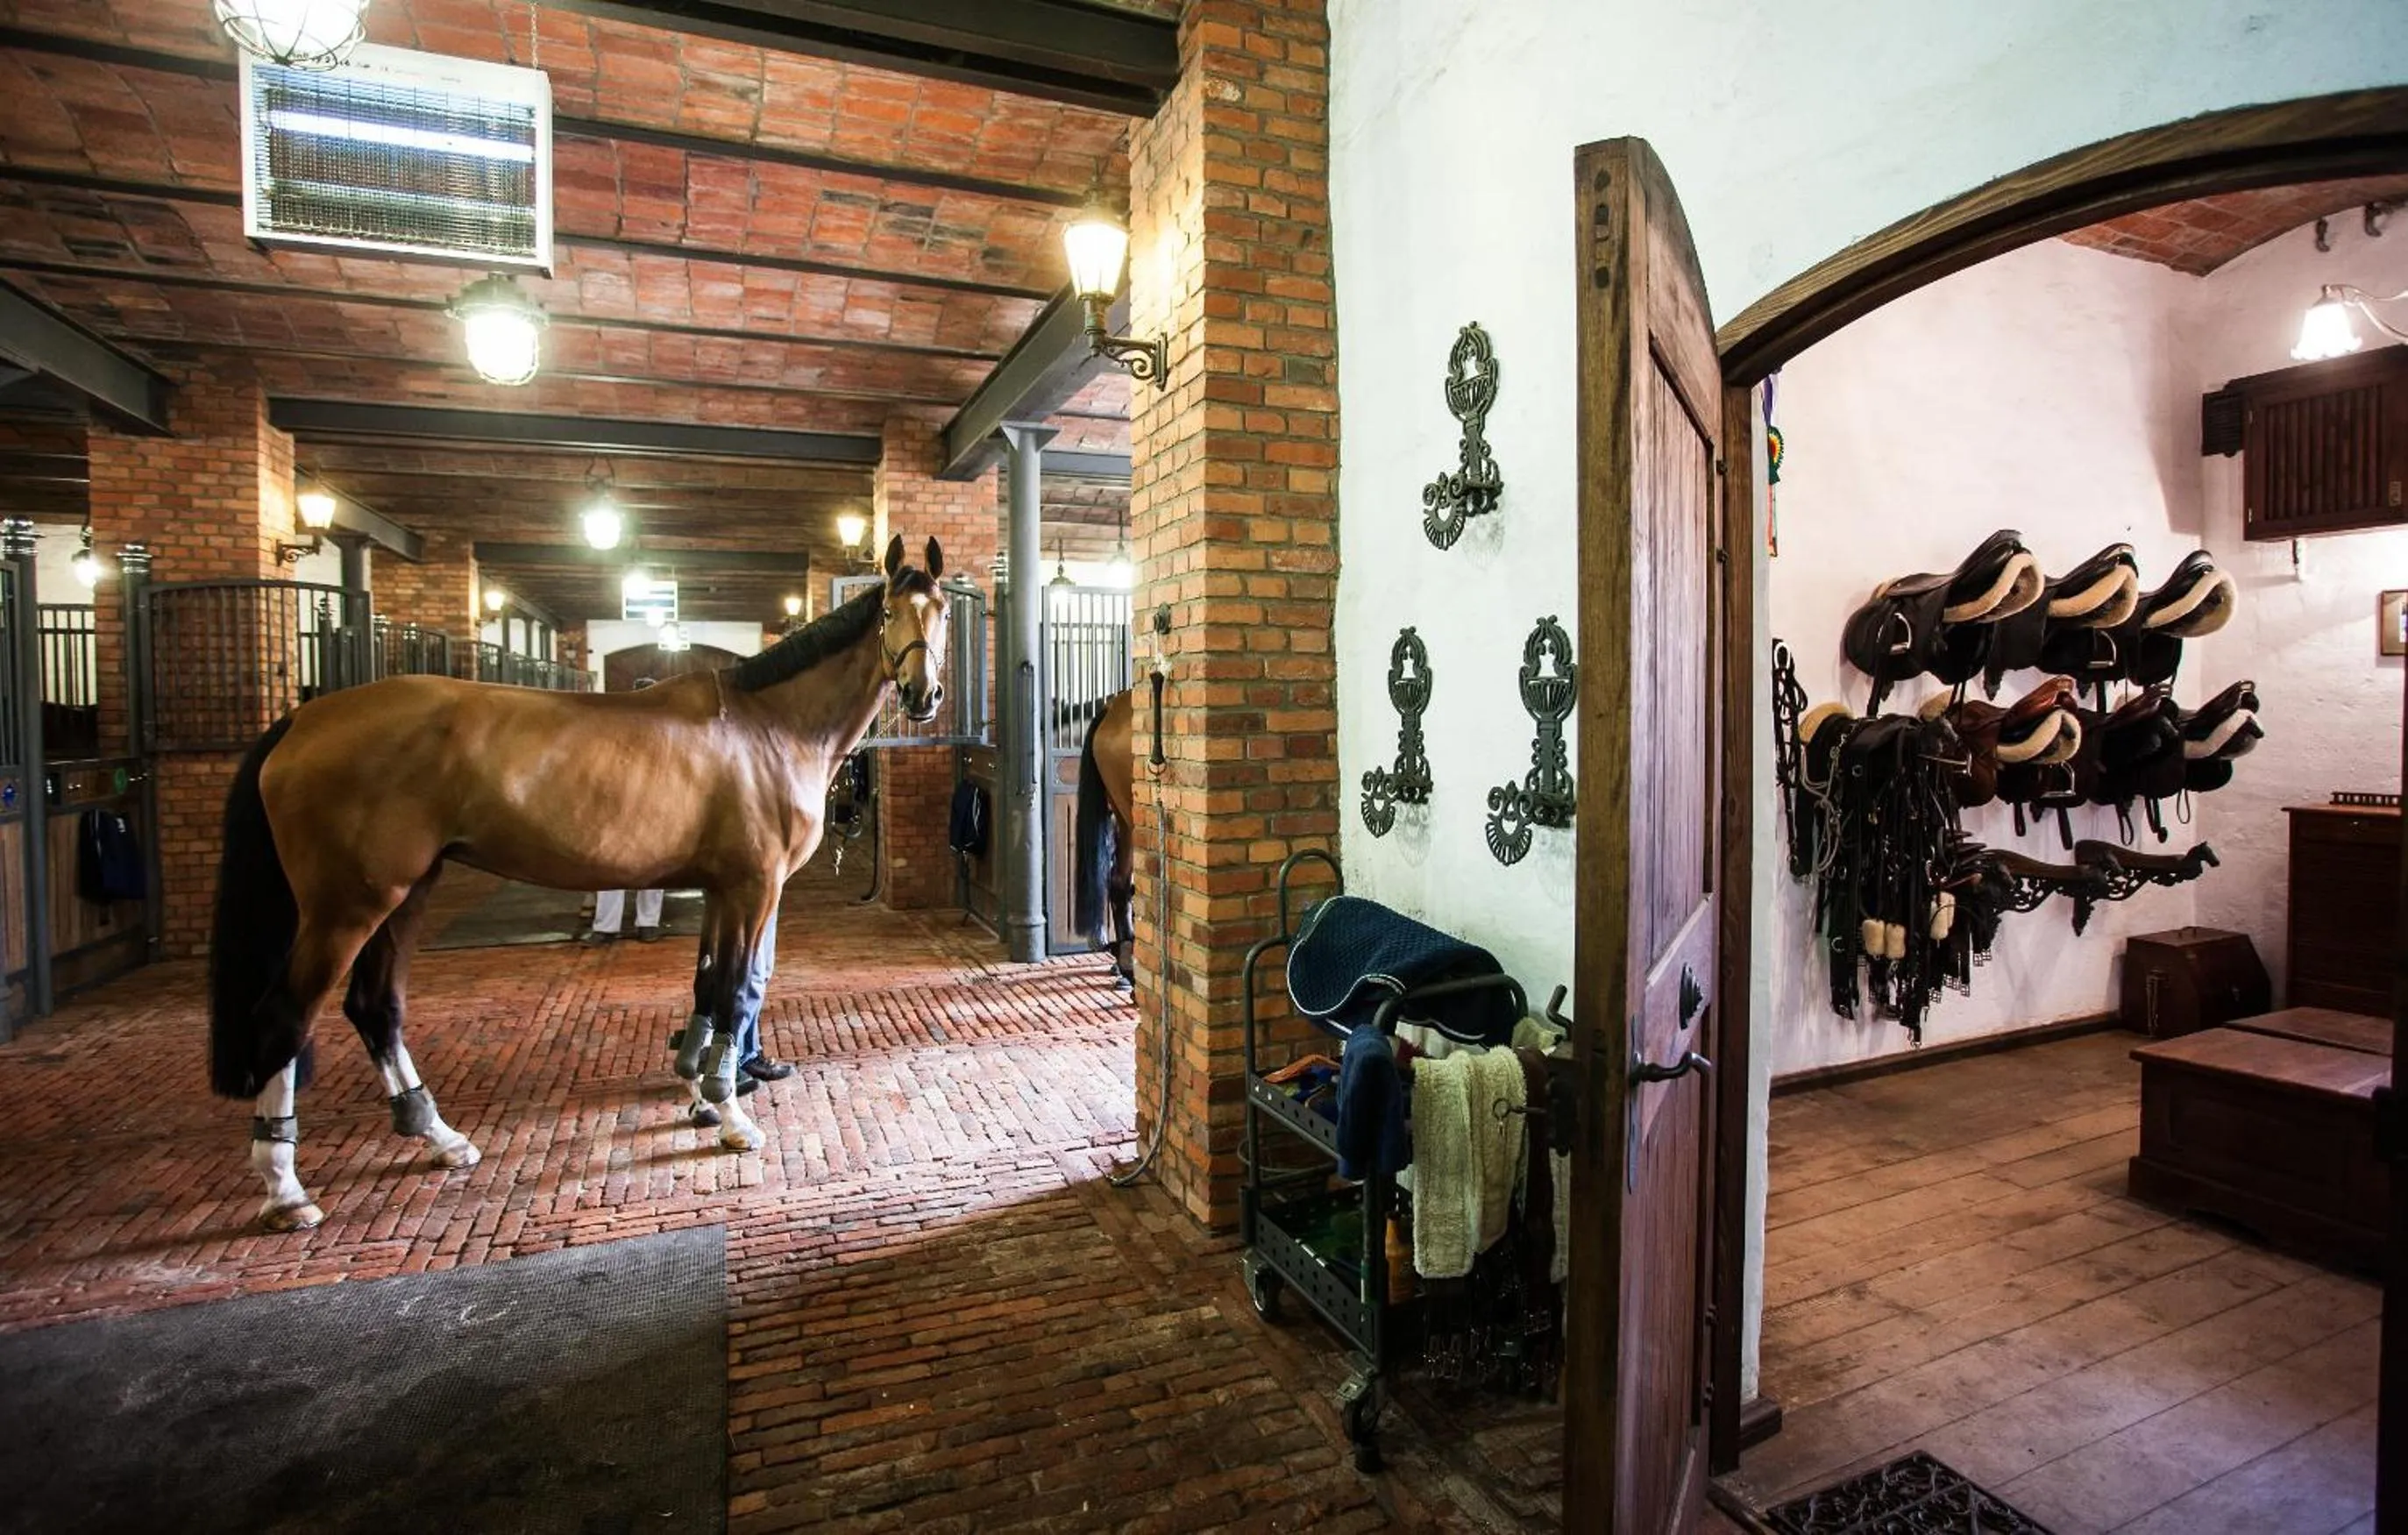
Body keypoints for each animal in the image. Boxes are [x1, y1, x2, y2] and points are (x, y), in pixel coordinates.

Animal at [208, 535, 952, 1231]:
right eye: (889, 611)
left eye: (942, 610)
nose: (923, 695)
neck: (766, 725)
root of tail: (303, 719)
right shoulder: (753, 886)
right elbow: (737, 993)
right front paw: (732, 1114)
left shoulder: (718, 888)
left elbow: (707, 989)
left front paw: (700, 1096)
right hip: (346, 907)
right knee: (284, 1018)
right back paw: (286, 1188)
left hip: (404, 895)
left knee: (375, 1008)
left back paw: (439, 1136)